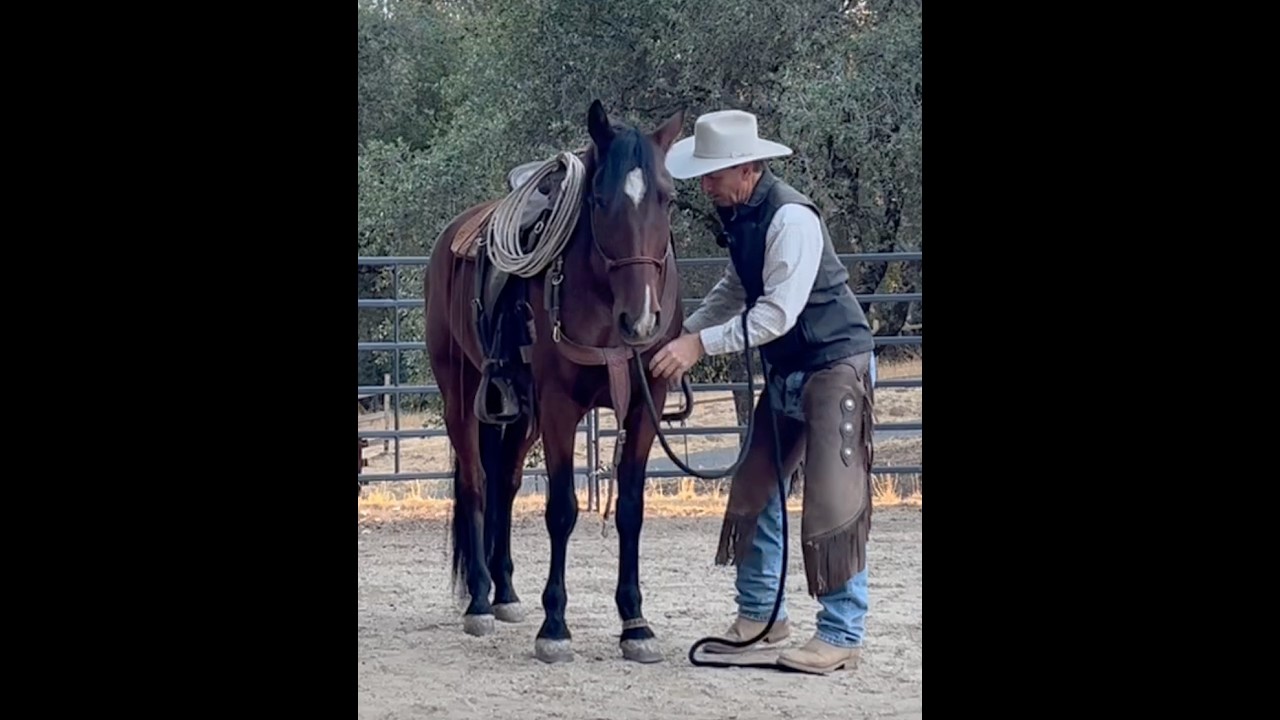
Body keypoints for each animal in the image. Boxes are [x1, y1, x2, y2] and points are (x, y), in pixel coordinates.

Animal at [424, 99, 688, 664]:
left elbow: (630, 509)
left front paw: (635, 623)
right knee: (476, 482)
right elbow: (562, 510)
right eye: (600, 199)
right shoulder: (561, 406)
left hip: (521, 412)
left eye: (669, 198)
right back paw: (480, 599)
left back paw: (505, 592)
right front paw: (555, 626)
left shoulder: (645, 404)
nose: (642, 320)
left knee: (504, 481)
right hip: (460, 394)